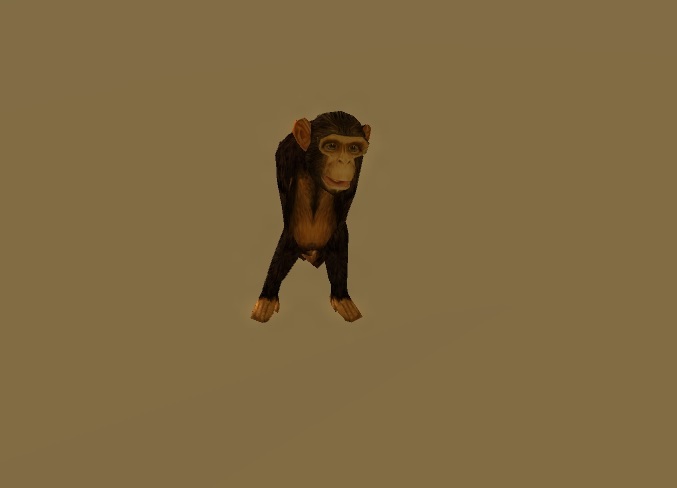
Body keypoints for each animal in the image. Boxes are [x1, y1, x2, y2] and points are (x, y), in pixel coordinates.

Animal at [250, 111, 371, 323]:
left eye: (353, 148)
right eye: (331, 146)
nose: (345, 161)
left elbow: (339, 226)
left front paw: (341, 297)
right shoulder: (285, 154)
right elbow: (294, 225)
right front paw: (267, 298)